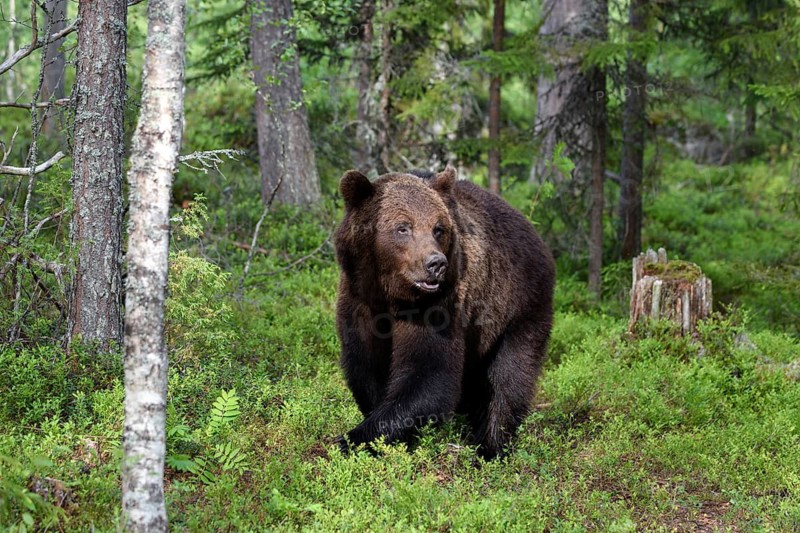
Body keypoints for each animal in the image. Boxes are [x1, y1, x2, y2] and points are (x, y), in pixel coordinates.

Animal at [333, 165, 555, 459]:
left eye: (438, 228)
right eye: (402, 227)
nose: (435, 263)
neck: (391, 295)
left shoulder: (437, 306)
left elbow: (429, 375)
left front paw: (351, 439)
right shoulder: (359, 303)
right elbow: (365, 366)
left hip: (519, 305)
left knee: (509, 376)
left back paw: (490, 446)